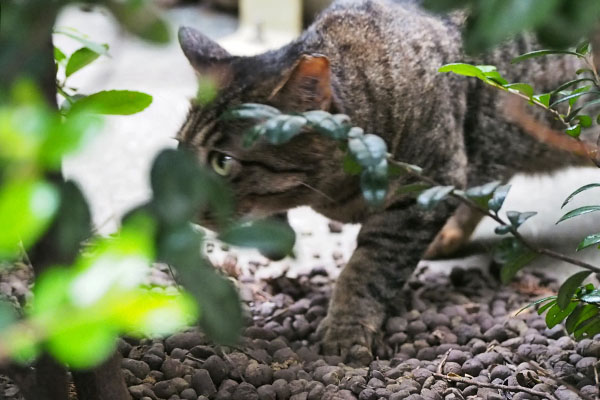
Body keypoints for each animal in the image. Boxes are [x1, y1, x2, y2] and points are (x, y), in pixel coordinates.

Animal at [176, 0, 588, 362]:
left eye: (223, 162)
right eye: (180, 147)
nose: (185, 209)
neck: (332, 191)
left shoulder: (427, 188)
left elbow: (368, 268)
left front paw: (346, 330)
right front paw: (274, 237)